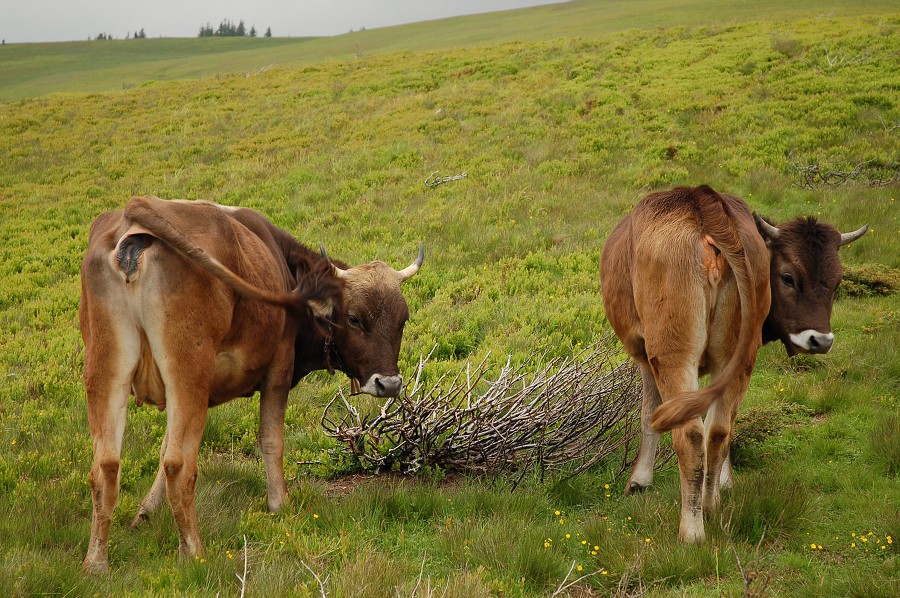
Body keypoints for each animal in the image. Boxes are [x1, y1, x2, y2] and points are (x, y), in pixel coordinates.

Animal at [79, 197, 424, 572]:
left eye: (403, 319)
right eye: (354, 318)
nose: (389, 383)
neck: (282, 263)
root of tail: (136, 213)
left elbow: (160, 449)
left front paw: (144, 513)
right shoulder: (279, 371)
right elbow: (271, 440)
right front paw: (279, 503)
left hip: (105, 370)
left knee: (106, 466)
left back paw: (96, 562)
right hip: (188, 374)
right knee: (179, 465)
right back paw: (194, 553)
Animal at [600, 186, 868, 544]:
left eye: (837, 283)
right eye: (788, 278)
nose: (821, 341)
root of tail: (704, 203)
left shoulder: (646, 356)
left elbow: (648, 414)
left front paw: (639, 481)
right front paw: (725, 483)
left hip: (674, 356)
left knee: (691, 434)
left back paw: (692, 530)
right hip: (734, 357)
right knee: (718, 429)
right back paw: (711, 505)